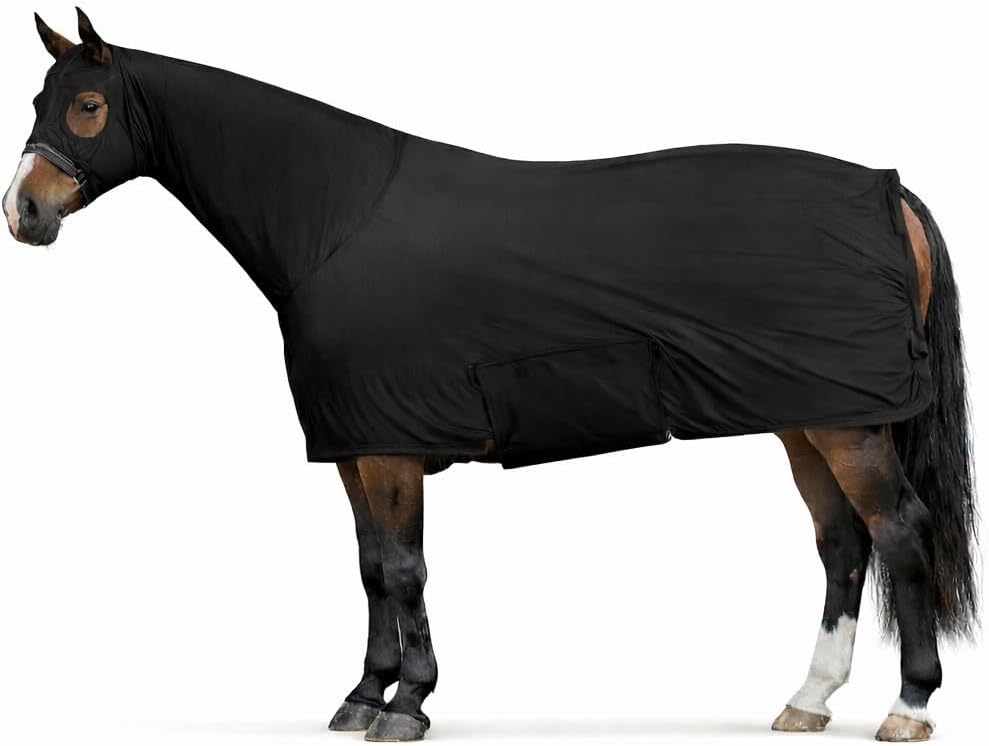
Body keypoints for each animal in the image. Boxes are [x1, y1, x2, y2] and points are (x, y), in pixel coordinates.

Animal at [3, 9, 976, 743]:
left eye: (86, 105)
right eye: (37, 99)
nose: (24, 211)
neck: (332, 221)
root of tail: (887, 191)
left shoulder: (392, 446)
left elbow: (405, 569)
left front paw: (408, 705)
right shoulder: (353, 446)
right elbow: (367, 567)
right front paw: (361, 697)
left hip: (849, 423)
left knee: (897, 533)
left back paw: (907, 706)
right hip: (804, 415)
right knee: (841, 543)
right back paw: (806, 701)